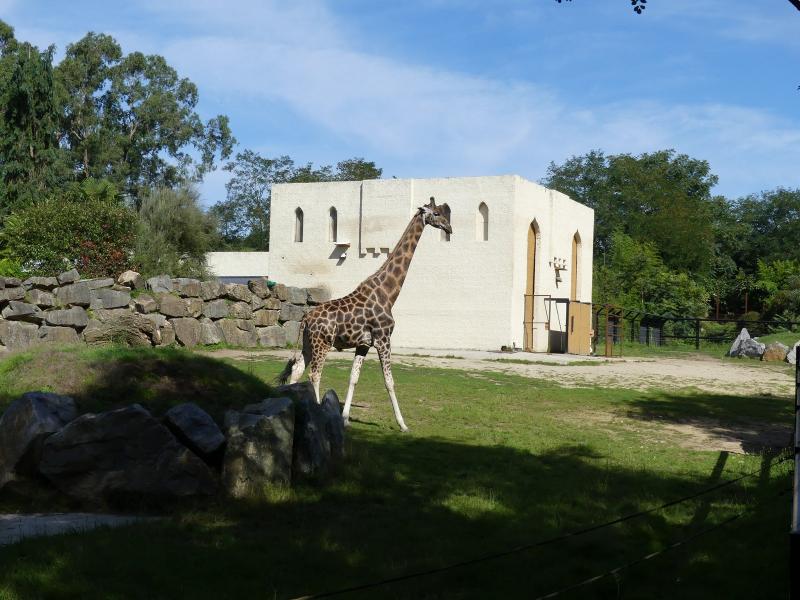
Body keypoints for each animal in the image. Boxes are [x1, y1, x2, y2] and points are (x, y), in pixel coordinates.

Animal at [276, 197, 453, 432]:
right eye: (436, 213)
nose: (449, 228)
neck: (388, 293)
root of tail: (305, 318)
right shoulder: (384, 339)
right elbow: (389, 381)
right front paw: (403, 424)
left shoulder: (364, 344)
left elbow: (353, 377)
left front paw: (345, 418)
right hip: (322, 343)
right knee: (314, 374)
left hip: (308, 343)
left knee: (297, 370)